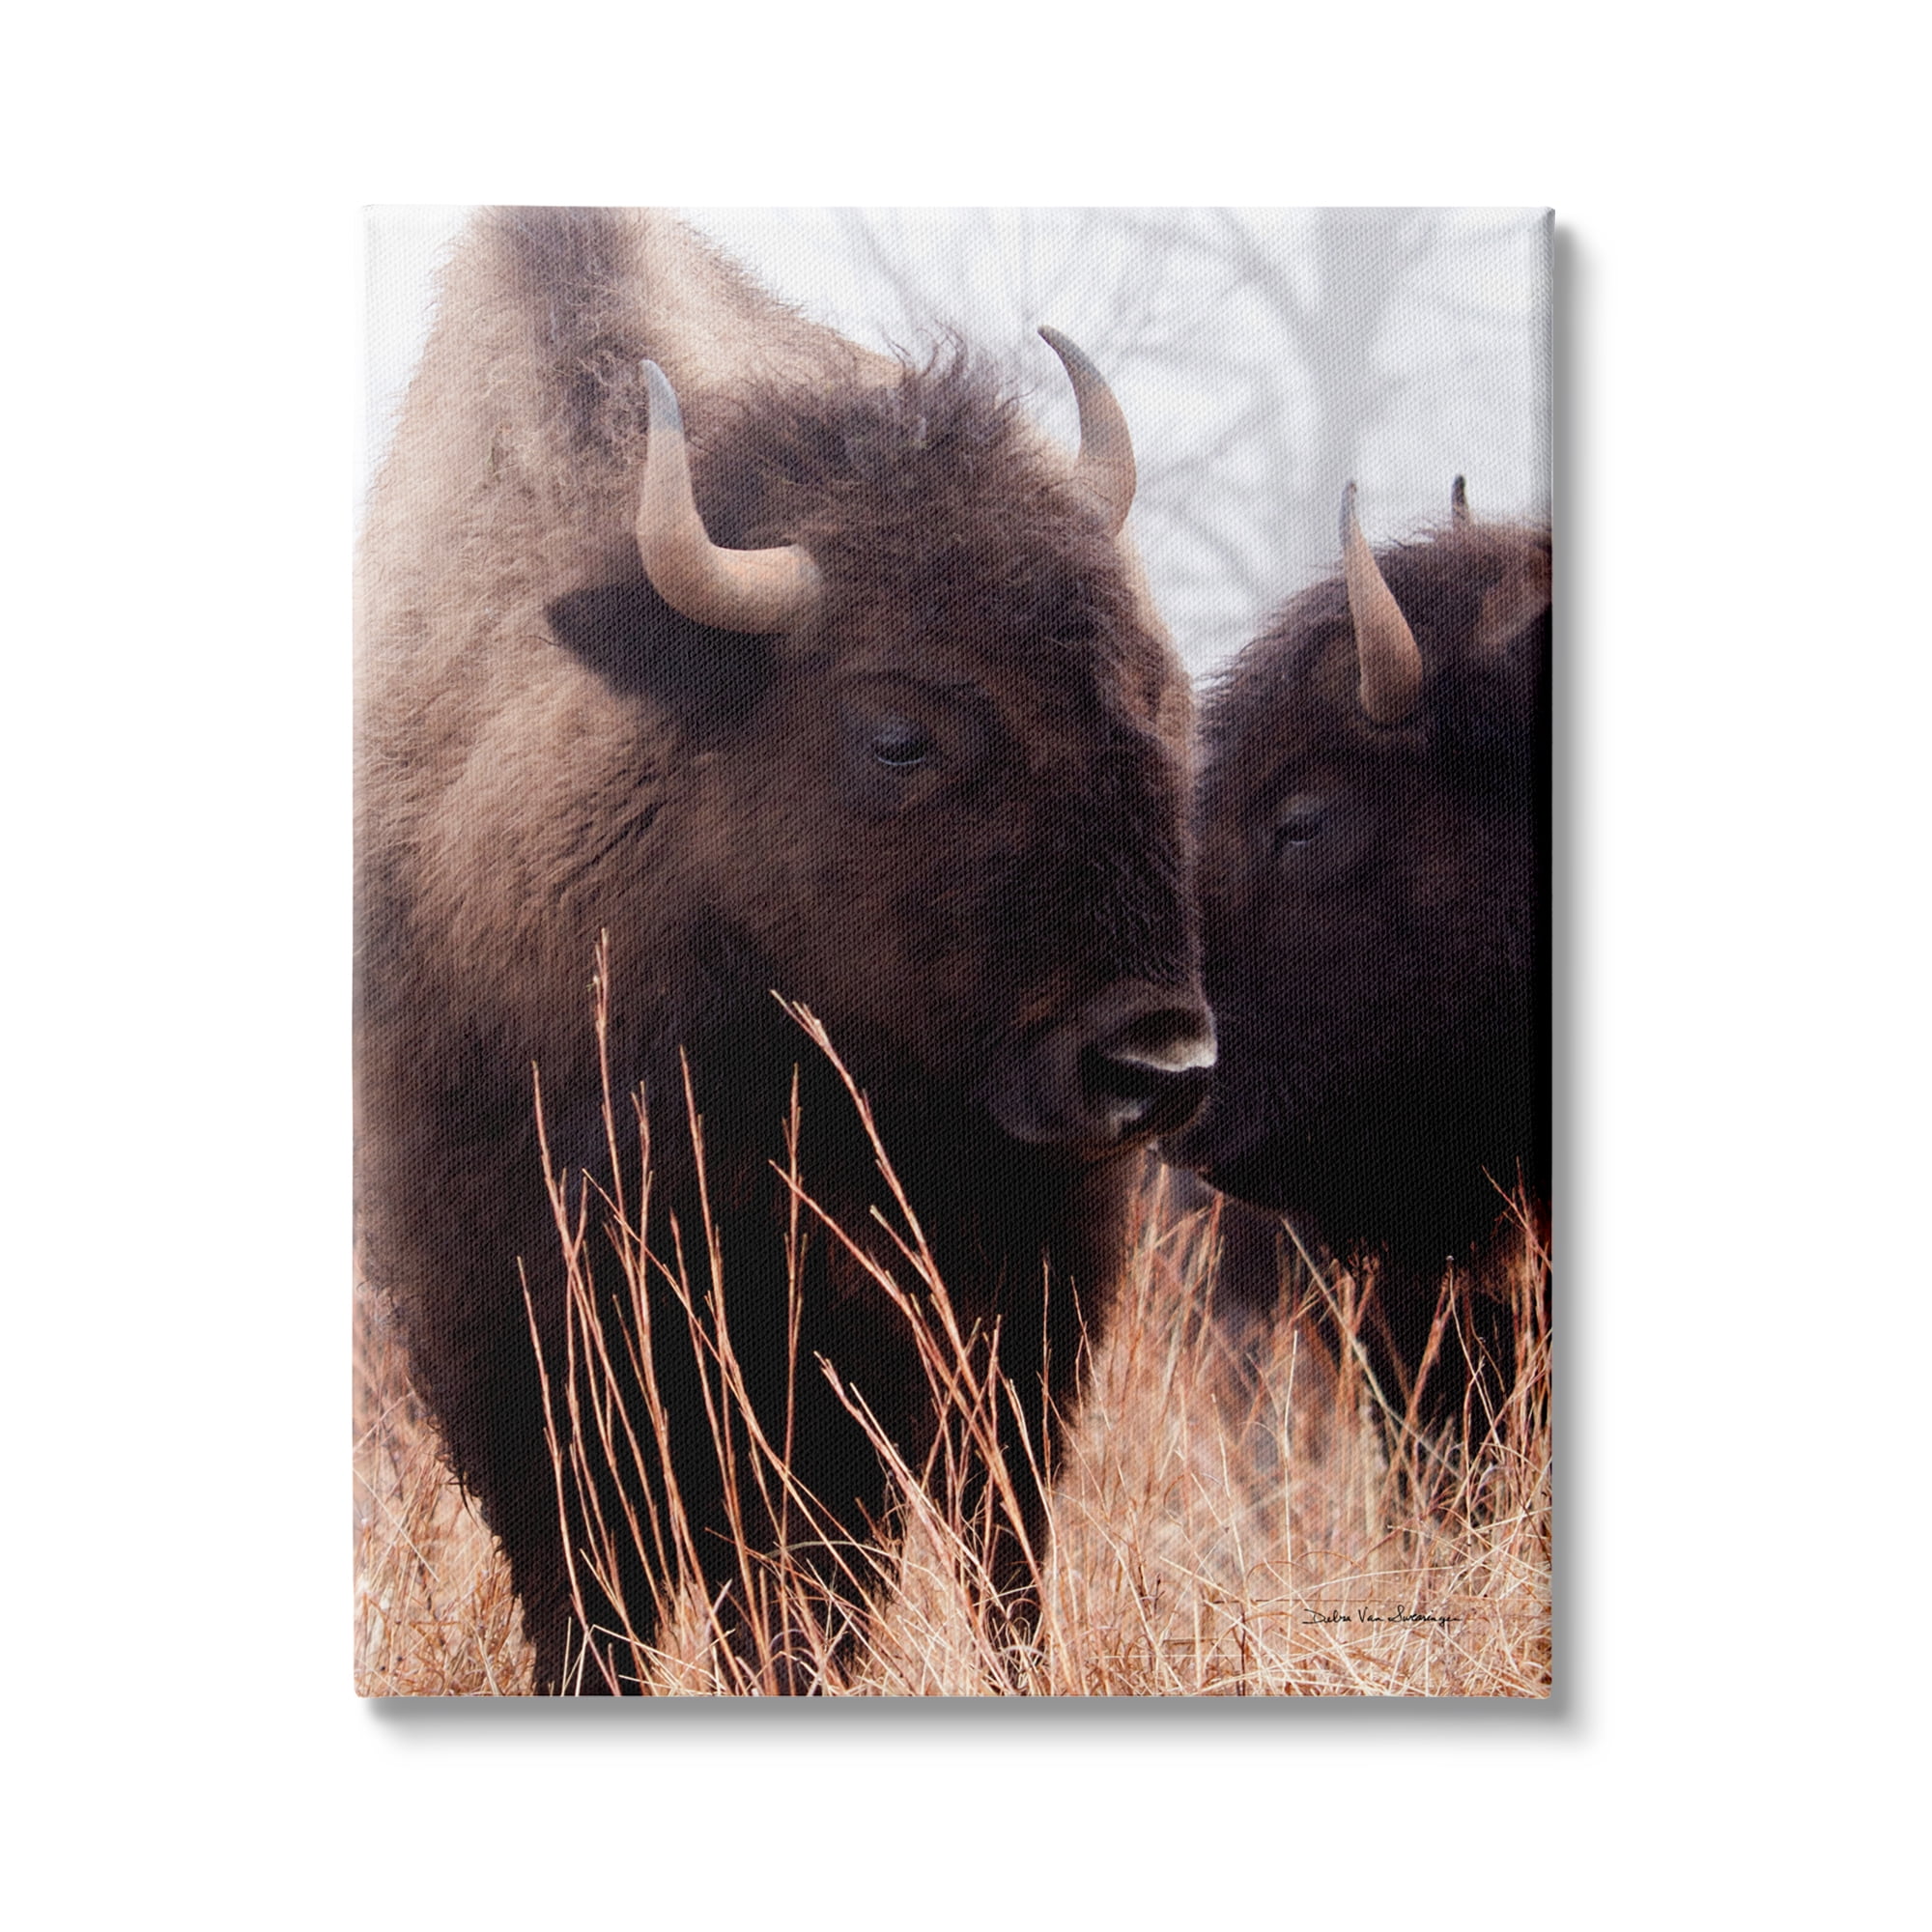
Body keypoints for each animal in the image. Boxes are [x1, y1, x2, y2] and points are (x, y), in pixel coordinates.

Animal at [356, 208, 1214, 1693]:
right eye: (897, 733)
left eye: (1157, 697)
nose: (1152, 1060)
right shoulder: (501, 1315)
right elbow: (589, 1584)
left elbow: (814, 1584)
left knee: (998, 1544)